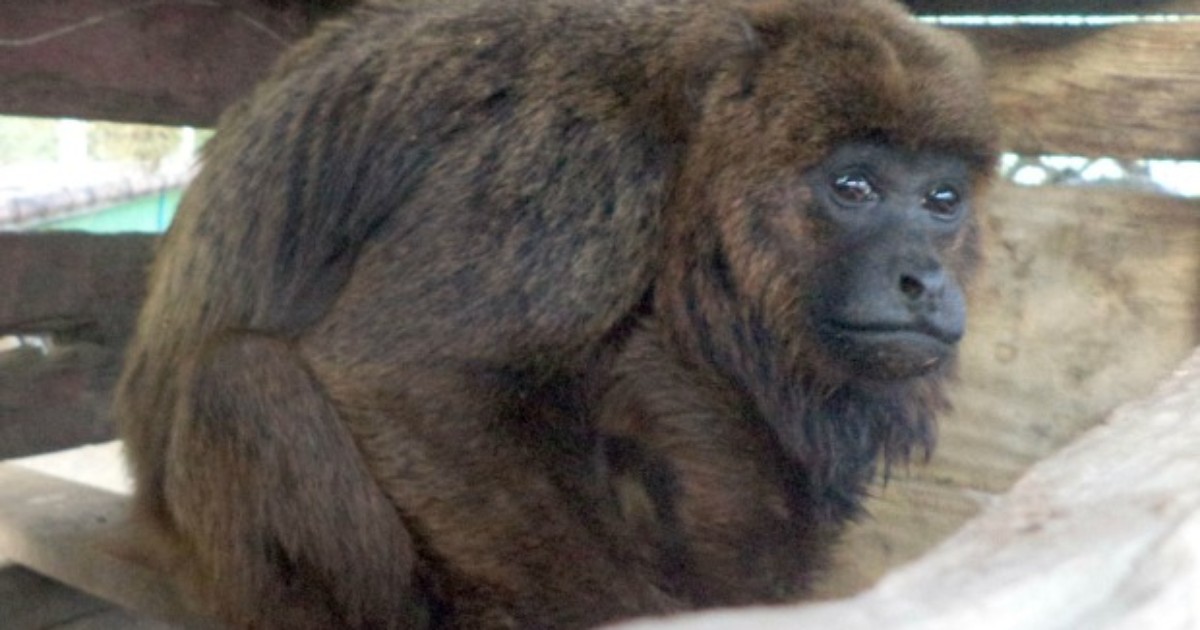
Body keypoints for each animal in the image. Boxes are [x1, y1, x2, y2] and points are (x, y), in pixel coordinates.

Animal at [112, 0, 997, 628]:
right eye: (853, 186)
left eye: (942, 200)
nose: (923, 279)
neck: (691, 152)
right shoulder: (574, 165)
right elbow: (402, 374)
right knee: (244, 383)